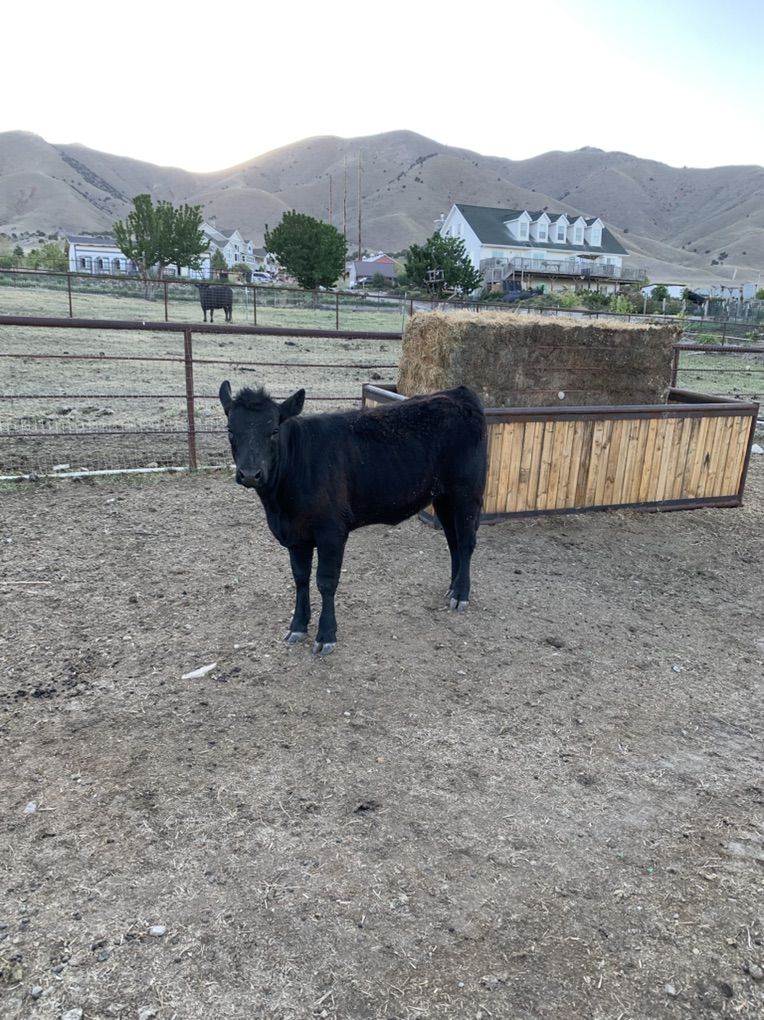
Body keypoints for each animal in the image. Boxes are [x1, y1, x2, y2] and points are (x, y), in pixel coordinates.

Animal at [219, 381, 487, 655]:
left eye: (273, 430)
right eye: (230, 430)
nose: (250, 474)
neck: (279, 507)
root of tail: (458, 392)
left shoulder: (332, 532)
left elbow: (325, 582)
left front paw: (326, 635)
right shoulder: (295, 535)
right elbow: (301, 578)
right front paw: (298, 626)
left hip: (467, 492)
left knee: (466, 542)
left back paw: (461, 594)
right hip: (443, 497)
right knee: (453, 542)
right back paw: (452, 588)